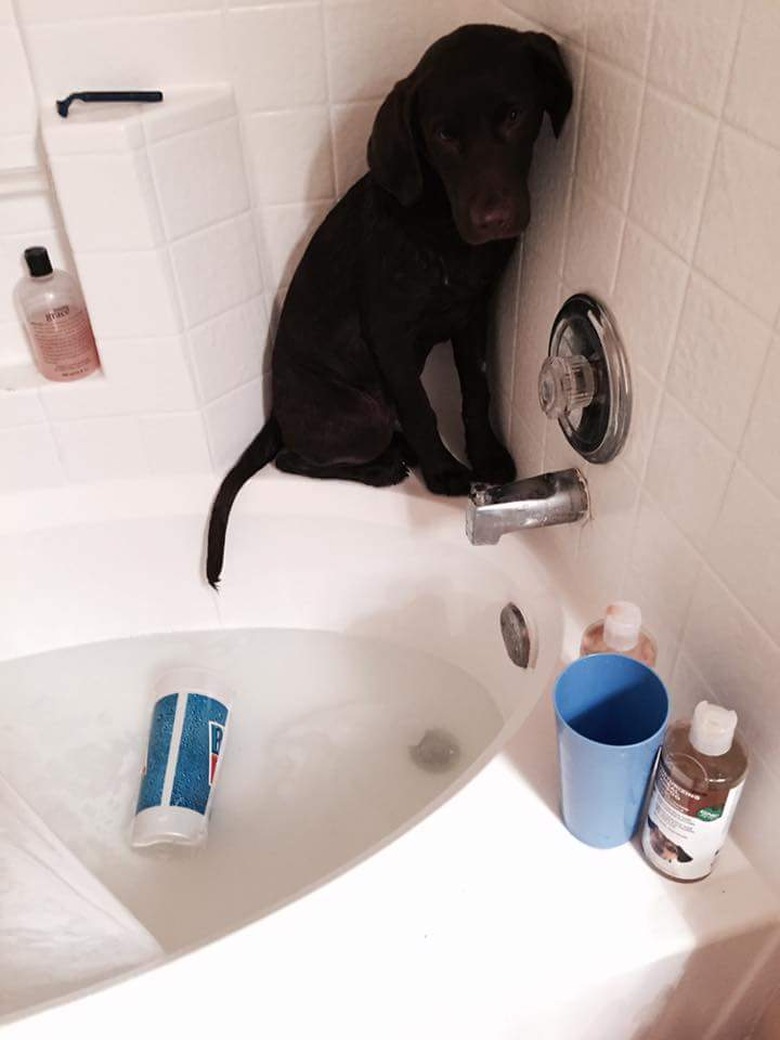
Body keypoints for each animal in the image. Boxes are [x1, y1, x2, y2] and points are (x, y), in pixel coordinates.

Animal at [208, 24, 574, 586]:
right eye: (443, 136)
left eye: (514, 115)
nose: (492, 219)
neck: (441, 227)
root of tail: (276, 417)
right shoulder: (389, 333)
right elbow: (421, 406)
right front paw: (444, 470)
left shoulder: (473, 314)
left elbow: (476, 391)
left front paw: (485, 454)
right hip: (363, 415)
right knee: (296, 459)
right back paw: (384, 465)